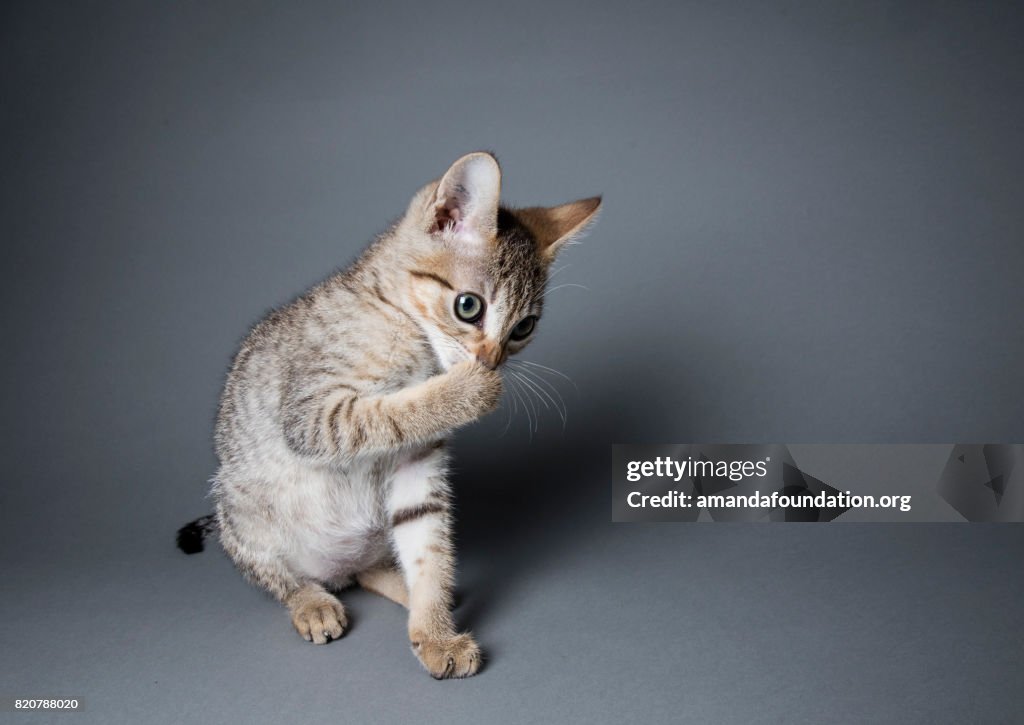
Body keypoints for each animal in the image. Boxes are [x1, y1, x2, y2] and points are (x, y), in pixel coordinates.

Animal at [177, 152, 598, 679]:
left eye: (524, 327)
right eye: (468, 306)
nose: (493, 360)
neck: (406, 329)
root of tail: (332, 571)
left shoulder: (416, 467)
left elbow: (428, 547)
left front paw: (434, 630)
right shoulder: (312, 413)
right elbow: (388, 412)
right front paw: (468, 390)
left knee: (368, 569)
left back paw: (414, 593)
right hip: (240, 508)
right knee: (278, 576)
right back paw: (311, 602)